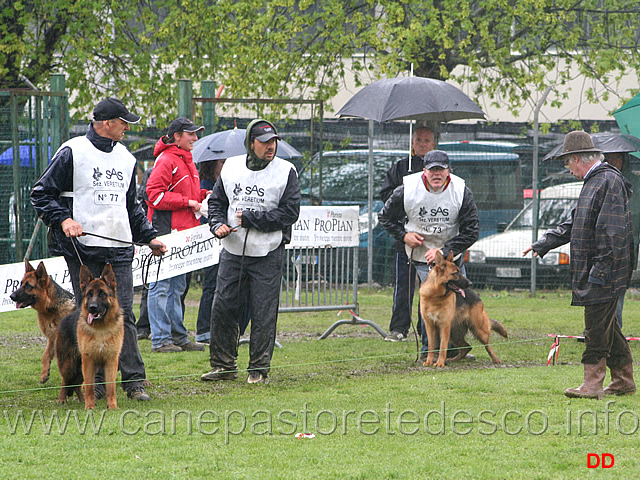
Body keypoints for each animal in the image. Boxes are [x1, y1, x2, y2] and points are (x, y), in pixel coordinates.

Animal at [56, 264, 125, 410]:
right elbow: (89, 386)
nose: (92, 308)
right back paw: (61, 399)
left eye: (102, 294)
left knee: (76, 385)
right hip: (69, 365)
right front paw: (90, 407)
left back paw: (81, 399)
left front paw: (112, 406)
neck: (101, 329)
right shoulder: (88, 361)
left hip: (78, 368)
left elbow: (111, 387)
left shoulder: (111, 361)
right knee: (66, 380)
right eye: (89, 294)